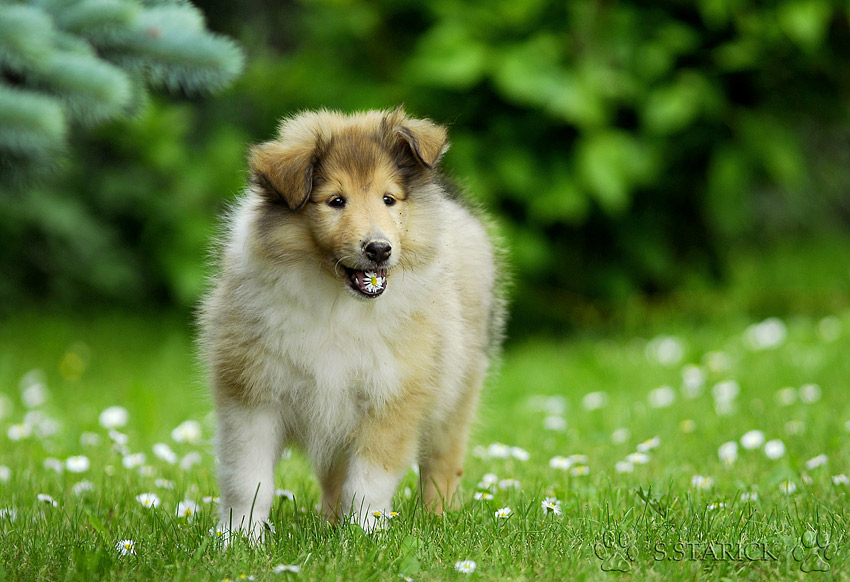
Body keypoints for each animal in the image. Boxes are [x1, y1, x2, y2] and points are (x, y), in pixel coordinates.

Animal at [199, 108, 504, 540]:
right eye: (335, 201)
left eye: (388, 199)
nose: (378, 249)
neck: (337, 306)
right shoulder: (251, 397)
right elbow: (247, 481)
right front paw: (239, 540)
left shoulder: (390, 399)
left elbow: (367, 486)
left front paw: (365, 539)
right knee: (333, 476)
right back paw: (328, 528)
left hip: (456, 394)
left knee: (441, 466)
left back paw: (436, 520)